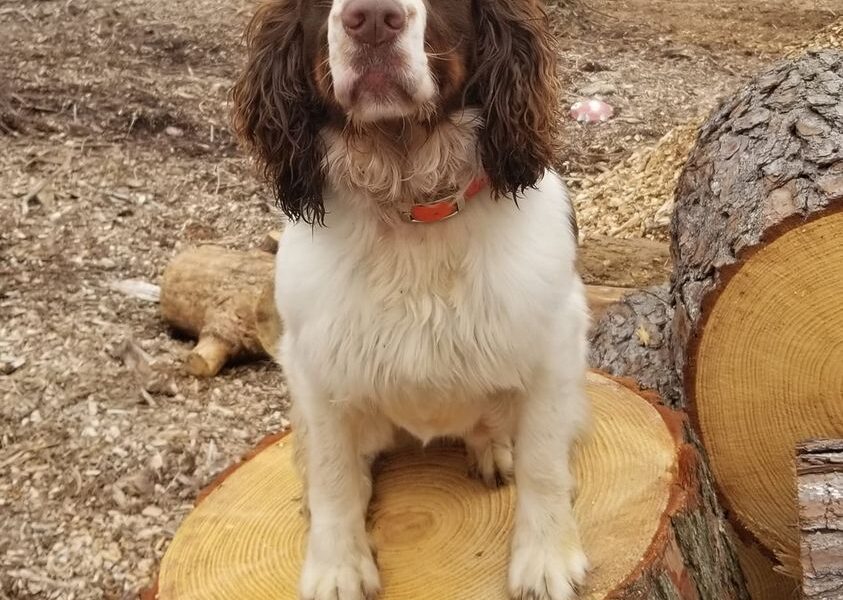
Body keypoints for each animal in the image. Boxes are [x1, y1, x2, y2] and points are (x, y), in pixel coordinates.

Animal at [231, 1, 588, 600]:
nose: (372, 19)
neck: (411, 203)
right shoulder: (314, 364)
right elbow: (332, 474)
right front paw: (337, 567)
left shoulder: (555, 343)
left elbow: (543, 463)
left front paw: (546, 560)